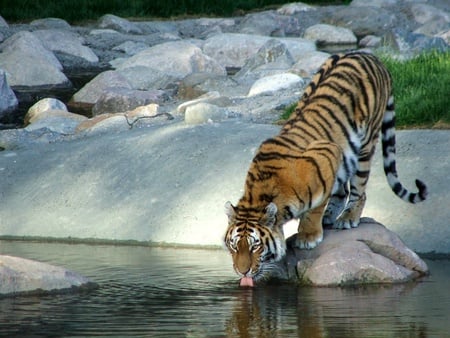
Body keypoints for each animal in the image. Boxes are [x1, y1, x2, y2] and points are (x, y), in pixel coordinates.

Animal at [225, 51, 428, 284]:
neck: (260, 194)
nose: (242, 271)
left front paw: (308, 237)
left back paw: (347, 219)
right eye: (234, 246)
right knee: (343, 190)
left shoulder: (327, 153)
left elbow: (315, 207)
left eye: (255, 246)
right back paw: (331, 216)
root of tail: (369, 55)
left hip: (365, 145)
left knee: (358, 191)